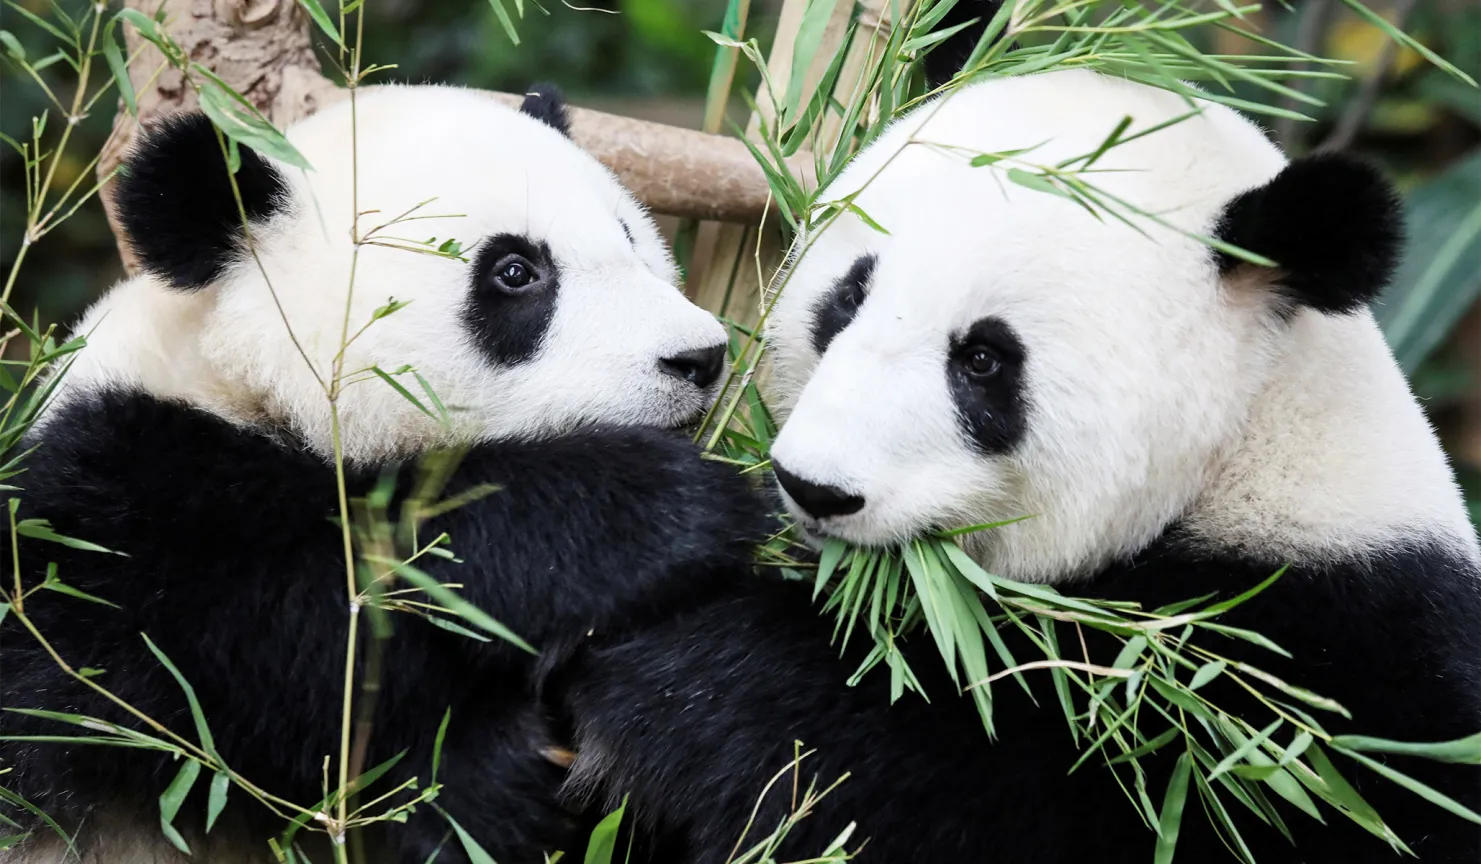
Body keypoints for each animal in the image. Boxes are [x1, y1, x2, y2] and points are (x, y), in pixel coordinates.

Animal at [0, 83, 771, 863]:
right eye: (514, 271)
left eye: (631, 237)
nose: (699, 358)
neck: (246, 381)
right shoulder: (114, 500)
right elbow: (292, 631)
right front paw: (652, 510)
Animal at [542, 42, 1481, 864]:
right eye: (847, 297)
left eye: (984, 360)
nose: (813, 488)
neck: (1243, 449)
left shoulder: (1325, 682)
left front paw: (691, 674)